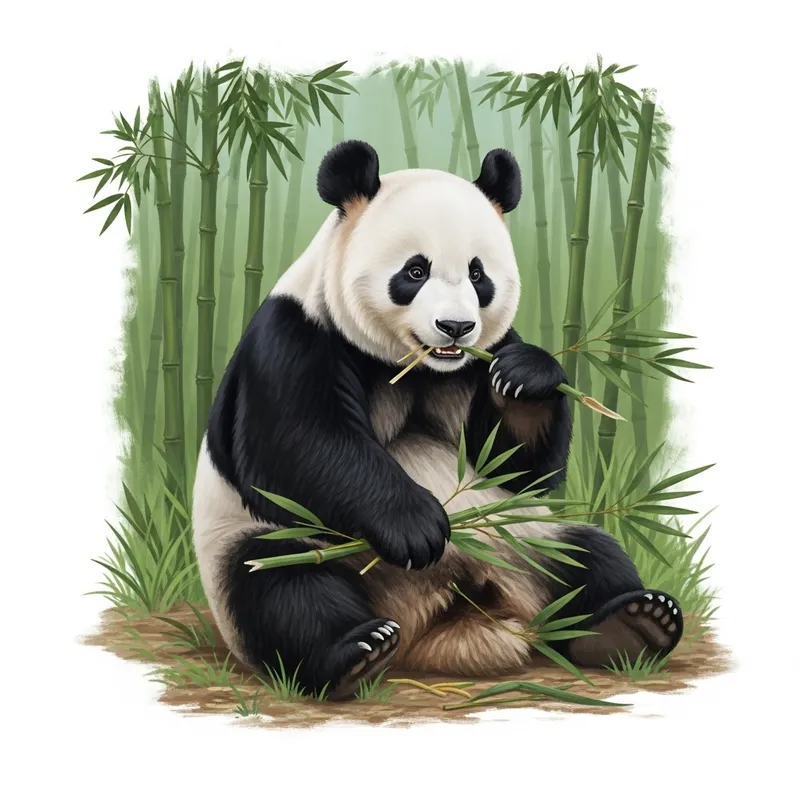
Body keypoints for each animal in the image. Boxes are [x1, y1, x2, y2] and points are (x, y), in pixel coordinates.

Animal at [192, 140, 684, 700]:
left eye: (477, 274)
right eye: (415, 272)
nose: (455, 326)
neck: (417, 365)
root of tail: (437, 619)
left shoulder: (476, 365)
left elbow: (518, 467)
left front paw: (527, 376)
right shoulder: (296, 335)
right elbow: (294, 446)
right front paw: (417, 527)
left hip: (524, 541)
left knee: (587, 555)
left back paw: (632, 624)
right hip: (270, 546)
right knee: (280, 588)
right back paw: (355, 653)